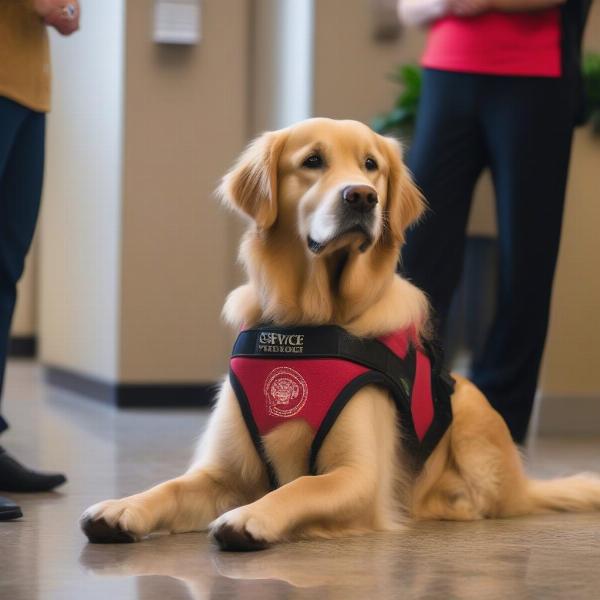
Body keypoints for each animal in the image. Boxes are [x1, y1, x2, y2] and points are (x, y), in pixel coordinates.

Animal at [82, 118, 600, 552]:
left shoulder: (359, 477)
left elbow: (302, 485)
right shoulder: (222, 471)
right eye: (313, 161)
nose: (363, 196)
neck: (308, 324)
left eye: (371, 165)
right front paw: (122, 507)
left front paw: (250, 516)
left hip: (472, 412)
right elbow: (170, 486)